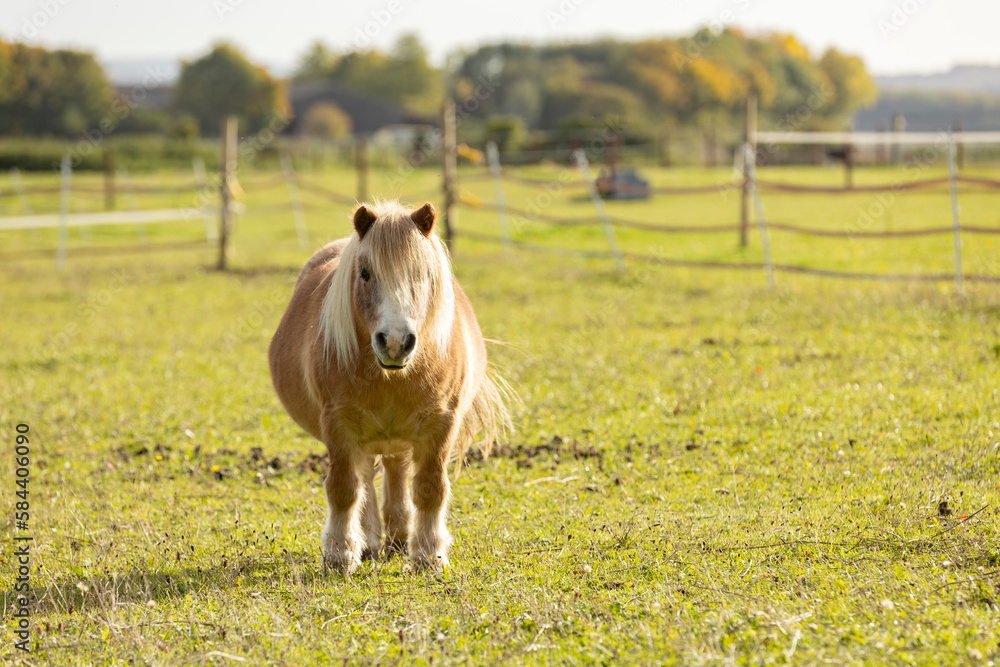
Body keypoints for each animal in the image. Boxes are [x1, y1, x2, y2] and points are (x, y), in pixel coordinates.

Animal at [268, 200, 509, 573]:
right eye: (365, 273)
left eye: (422, 274)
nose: (395, 342)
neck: (392, 378)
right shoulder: (338, 426)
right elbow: (344, 488)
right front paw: (339, 554)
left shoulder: (441, 424)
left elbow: (430, 488)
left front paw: (428, 555)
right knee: (366, 480)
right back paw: (369, 541)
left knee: (395, 471)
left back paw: (398, 536)